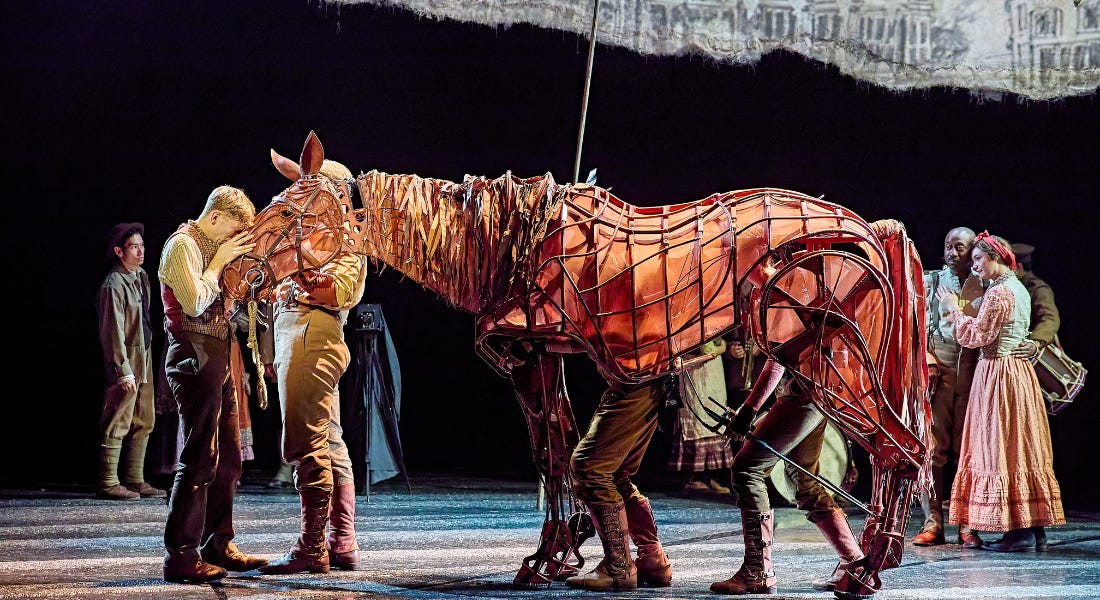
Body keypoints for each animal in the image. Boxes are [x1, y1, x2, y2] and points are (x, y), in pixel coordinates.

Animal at [225, 131, 931, 599]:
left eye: (289, 211)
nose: (234, 276)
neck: (503, 244)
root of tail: (871, 228)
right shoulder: (551, 357)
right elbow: (568, 454)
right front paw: (579, 552)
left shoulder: (527, 355)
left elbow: (552, 456)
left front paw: (549, 559)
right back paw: (846, 565)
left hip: (833, 359)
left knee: (902, 451)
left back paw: (869, 569)